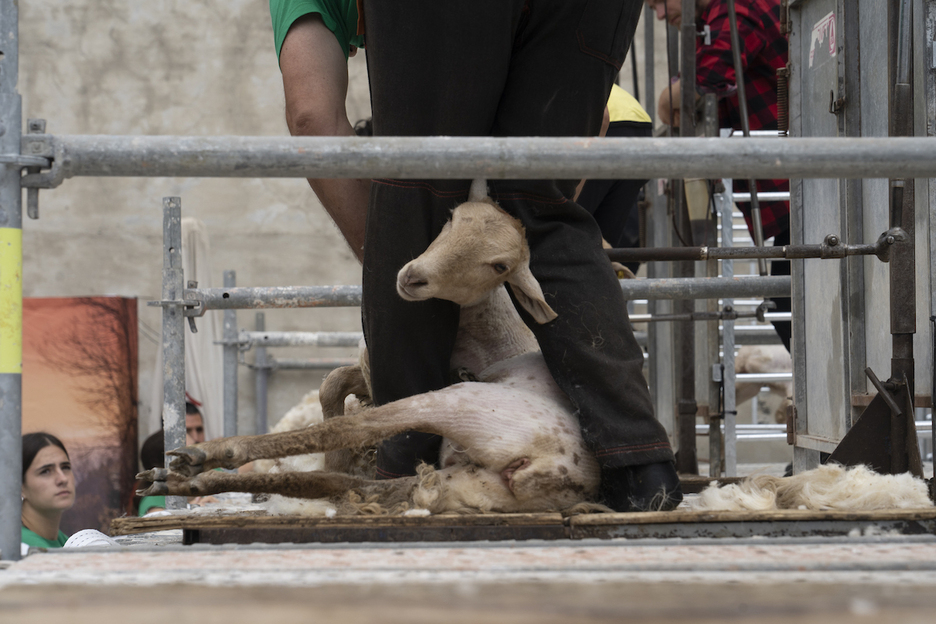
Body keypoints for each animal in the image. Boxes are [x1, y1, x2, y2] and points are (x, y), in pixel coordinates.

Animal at [139, 179, 608, 512]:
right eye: (452, 217)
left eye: (499, 266)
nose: (413, 277)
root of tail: (559, 474)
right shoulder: (366, 372)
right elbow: (331, 382)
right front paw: (337, 457)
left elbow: (340, 408)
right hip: (459, 479)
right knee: (346, 484)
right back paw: (185, 480)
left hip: (462, 405)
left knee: (354, 431)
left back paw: (206, 456)